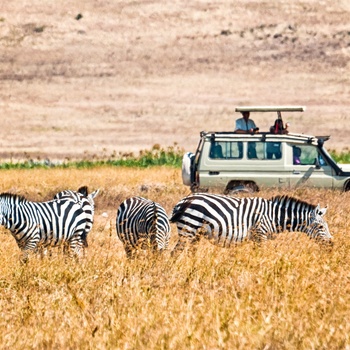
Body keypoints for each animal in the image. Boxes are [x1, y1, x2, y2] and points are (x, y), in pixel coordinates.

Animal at [168, 193, 332, 253]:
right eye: (320, 226)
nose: (331, 245)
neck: (273, 216)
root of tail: (184, 201)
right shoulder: (260, 234)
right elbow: (261, 255)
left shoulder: (256, 237)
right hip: (188, 229)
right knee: (175, 252)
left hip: (195, 234)